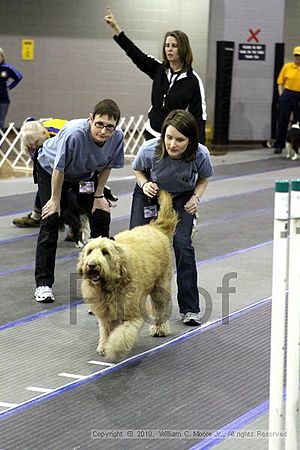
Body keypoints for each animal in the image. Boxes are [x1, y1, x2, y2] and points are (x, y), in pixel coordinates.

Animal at [77, 190, 178, 362]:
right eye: (89, 251)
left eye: (105, 252)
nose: (92, 265)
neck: (110, 286)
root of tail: (155, 228)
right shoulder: (106, 314)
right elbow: (106, 330)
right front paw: (104, 345)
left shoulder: (131, 314)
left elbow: (121, 335)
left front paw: (113, 349)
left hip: (160, 286)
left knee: (160, 308)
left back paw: (160, 328)